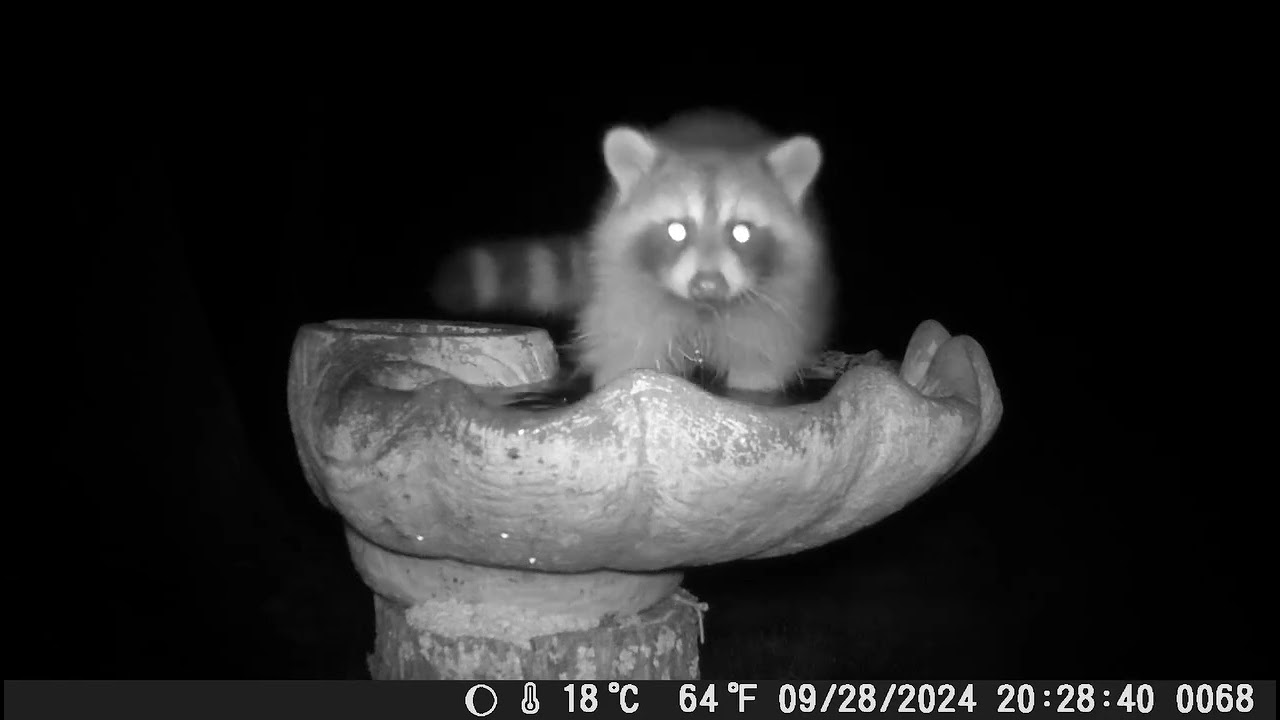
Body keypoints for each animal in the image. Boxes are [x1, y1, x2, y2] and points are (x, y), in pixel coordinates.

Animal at [431, 109, 835, 396]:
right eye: (677, 229)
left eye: (741, 232)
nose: (708, 285)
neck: (702, 311)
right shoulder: (630, 296)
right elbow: (627, 359)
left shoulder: (776, 307)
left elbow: (761, 366)